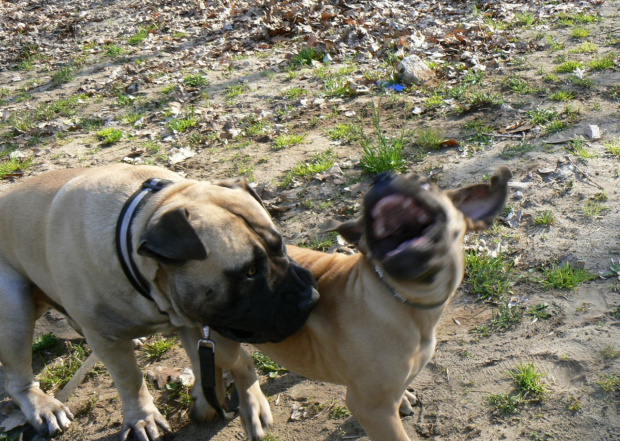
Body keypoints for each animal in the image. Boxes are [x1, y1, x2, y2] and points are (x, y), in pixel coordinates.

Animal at [0, 164, 320, 440]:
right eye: (250, 271)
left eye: (280, 245)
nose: (310, 299)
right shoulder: (109, 338)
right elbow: (130, 378)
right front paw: (142, 417)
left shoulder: (199, 319)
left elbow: (220, 361)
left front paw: (225, 401)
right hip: (15, 309)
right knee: (17, 381)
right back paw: (45, 407)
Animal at [211, 166, 512, 440]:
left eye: (423, 183)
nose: (383, 177)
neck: (402, 302)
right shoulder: (372, 408)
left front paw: (404, 397)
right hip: (220, 342)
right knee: (239, 361)